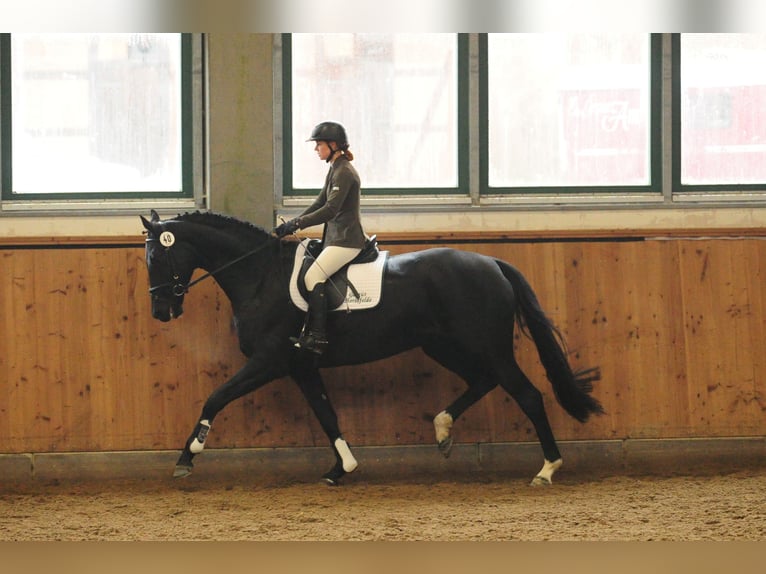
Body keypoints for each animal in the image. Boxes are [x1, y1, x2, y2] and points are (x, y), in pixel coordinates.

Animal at [142, 210, 608, 486]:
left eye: (156, 259)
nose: (162, 311)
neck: (260, 276)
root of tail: (492, 262)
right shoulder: (301, 366)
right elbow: (327, 414)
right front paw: (341, 469)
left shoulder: (268, 362)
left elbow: (215, 397)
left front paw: (187, 457)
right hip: (444, 345)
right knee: (483, 381)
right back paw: (442, 430)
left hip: (486, 347)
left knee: (527, 394)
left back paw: (547, 469)